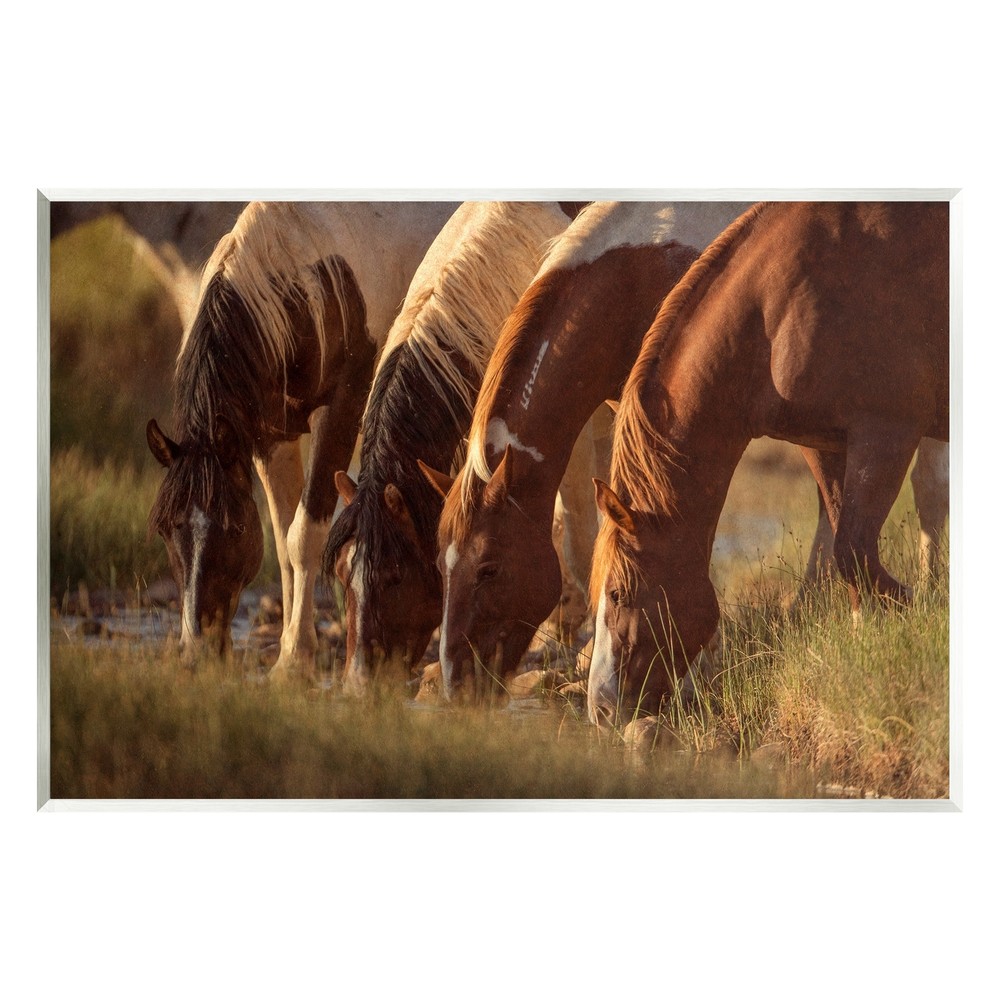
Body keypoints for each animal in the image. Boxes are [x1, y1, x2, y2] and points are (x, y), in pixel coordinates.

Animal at [146, 200, 459, 677]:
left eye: (234, 528)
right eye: (165, 529)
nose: (197, 650)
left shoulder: (342, 411)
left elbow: (304, 535)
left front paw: (294, 660)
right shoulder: (270, 434)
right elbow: (282, 540)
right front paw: (294, 649)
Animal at [588, 201, 949, 725]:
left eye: (617, 593)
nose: (599, 707)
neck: (775, 311)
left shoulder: (887, 434)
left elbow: (853, 551)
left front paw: (923, 608)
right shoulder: (825, 443)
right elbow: (846, 543)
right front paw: (870, 631)